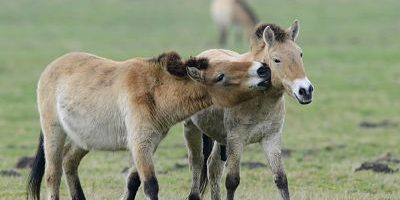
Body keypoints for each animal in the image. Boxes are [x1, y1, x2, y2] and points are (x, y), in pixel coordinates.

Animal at [25, 52, 272, 200]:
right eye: (221, 76)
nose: (263, 70)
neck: (154, 91)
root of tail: (52, 66)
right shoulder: (140, 142)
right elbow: (151, 184)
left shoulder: (148, 144)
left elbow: (134, 180)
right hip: (54, 133)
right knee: (53, 174)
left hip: (83, 139)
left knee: (69, 162)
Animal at [183, 19, 314, 199]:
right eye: (276, 59)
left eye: (300, 54)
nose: (305, 90)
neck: (258, 98)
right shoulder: (236, 140)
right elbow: (232, 181)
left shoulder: (271, 138)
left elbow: (281, 179)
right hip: (192, 129)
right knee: (197, 163)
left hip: (219, 138)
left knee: (213, 168)